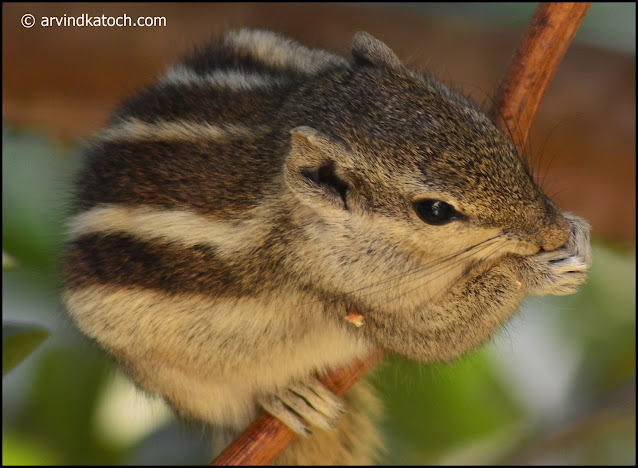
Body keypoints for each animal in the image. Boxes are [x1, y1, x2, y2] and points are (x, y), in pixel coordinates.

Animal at [62, 29, 592, 464]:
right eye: (435, 211)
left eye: (474, 116)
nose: (550, 232)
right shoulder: (351, 287)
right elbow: (433, 336)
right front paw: (534, 273)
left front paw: (577, 232)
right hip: (175, 379)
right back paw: (288, 397)